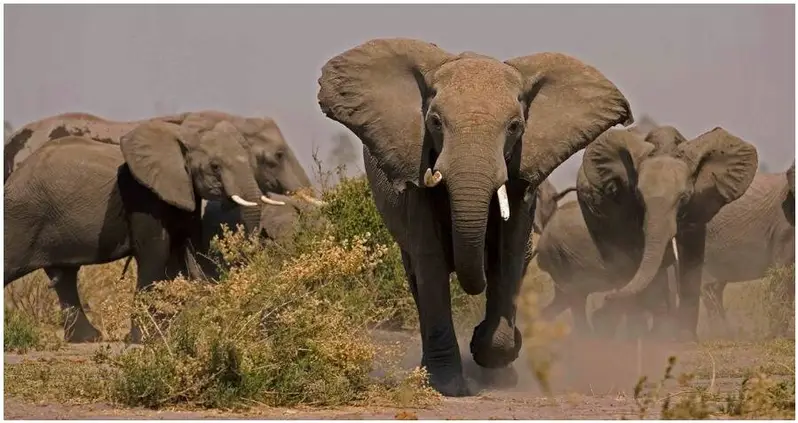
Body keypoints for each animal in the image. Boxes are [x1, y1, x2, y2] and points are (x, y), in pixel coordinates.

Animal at [4, 120, 272, 343]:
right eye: (215, 166)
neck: (184, 137)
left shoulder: (182, 193)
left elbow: (180, 253)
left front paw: (167, 335)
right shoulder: (144, 198)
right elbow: (156, 253)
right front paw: (144, 340)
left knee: (65, 276)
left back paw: (87, 339)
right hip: (22, 215)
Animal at [316, 38, 634, 396]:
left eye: (515, 127)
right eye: (435, 122)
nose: (478, 332)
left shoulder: (521, 178)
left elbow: (509, 256)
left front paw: (493, 360)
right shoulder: (417, 175)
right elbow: (431, 262)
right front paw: (449, 384)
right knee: (416, 275)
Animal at [563, 125, 759, 341]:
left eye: (684, 197)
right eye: (638, 196)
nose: (605, 301)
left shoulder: (698, 206)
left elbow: (691, 260)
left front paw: (685, 339)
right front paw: (661, 338)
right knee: (623, 264)